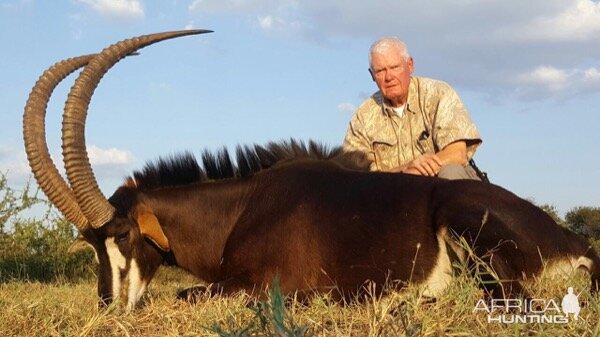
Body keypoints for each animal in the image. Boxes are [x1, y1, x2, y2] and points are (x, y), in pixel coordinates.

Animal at [23, 30, 600, 308]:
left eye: (123, 234)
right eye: (92, 244)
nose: (108, 307)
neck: (241, 207)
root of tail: (577, 243)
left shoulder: (263, 284)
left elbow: (188, 293)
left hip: (468, 225)